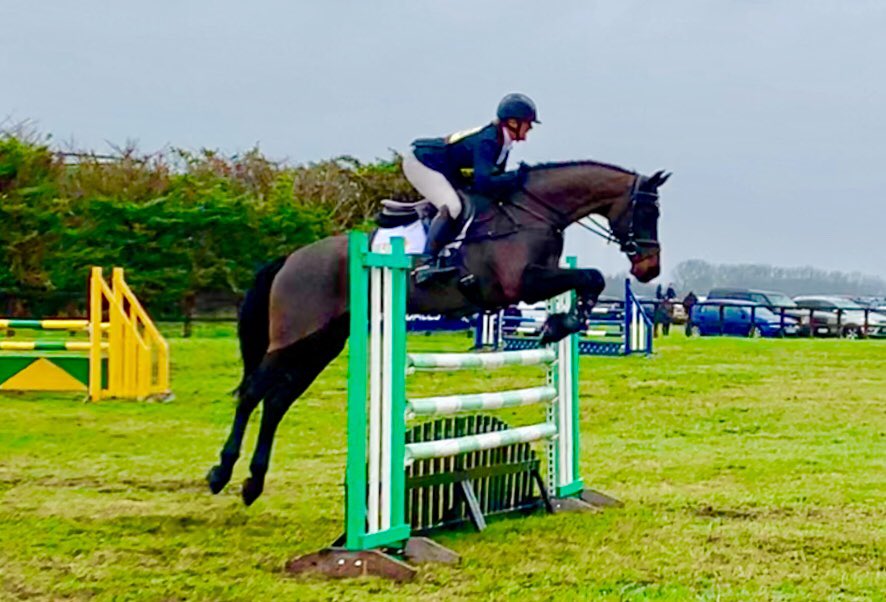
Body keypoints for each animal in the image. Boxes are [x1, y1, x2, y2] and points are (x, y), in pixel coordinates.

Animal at [207, 159, 670, 505]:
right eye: (647, 212)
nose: (650, 269)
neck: (531, 212)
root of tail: (291, 259)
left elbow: (588, 279)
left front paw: (562, 323)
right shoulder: (518, 284)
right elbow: (590, 275)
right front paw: (561, 323)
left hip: (323, 343)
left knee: (277, 401)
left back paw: (252, 483)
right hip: (294, 337)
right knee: (253, 393)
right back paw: (221, 473)